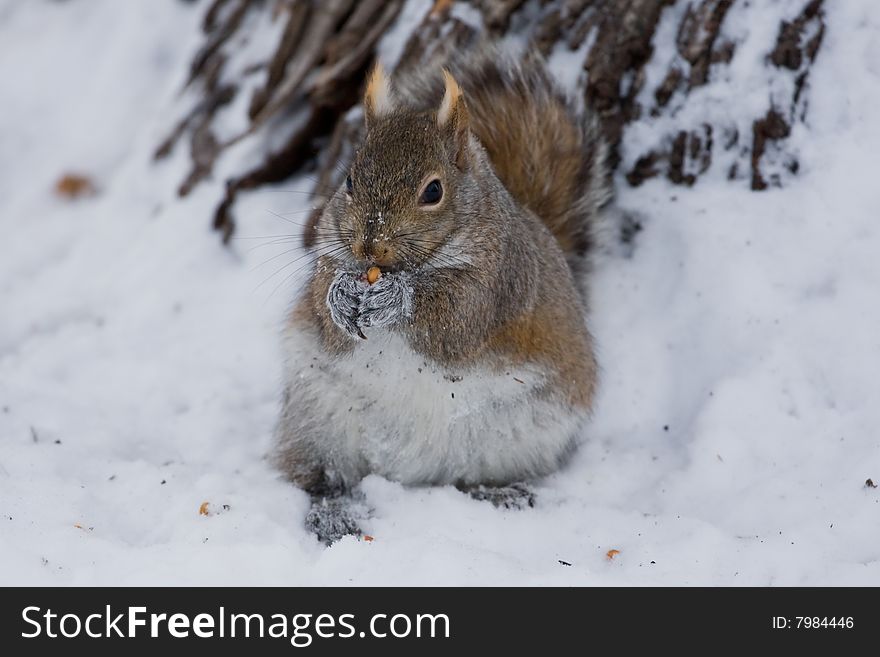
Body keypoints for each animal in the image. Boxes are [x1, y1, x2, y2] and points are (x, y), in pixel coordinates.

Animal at [272, 47, 608, 544]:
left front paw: (396, 300)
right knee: (322, 480)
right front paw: (339, 298)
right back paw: (333, 513)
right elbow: (323, 309)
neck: (407, 268)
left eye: (434, 190)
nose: (370, 245)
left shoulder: (500, 281)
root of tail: (410, 472)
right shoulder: (329, 253)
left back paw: (500, 493)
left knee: (477, 479)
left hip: (522, 435)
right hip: (317, 422)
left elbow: (454, 323)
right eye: (348, 181)